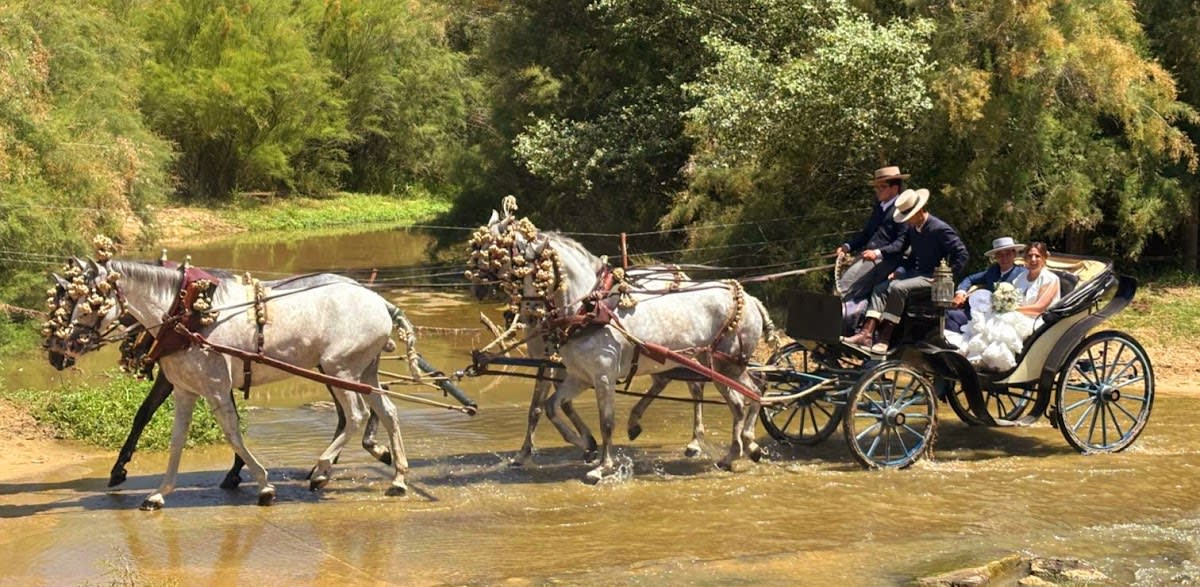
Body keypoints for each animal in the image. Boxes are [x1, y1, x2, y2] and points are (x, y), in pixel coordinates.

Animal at [50, 258, 416, 509]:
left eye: (89, 306)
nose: (59, 351)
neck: (186, 313)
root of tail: (380, 301)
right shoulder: (184, 390)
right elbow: (176, 440)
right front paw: (159, 493)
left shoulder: (214, 387)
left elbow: (233, 433)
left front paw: (262, 484)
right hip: (362, 372)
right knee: (388, 411)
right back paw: (397, 477)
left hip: (340, 370)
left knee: (355, 416)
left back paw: (323, 468)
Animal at [468, 201, 776, 482]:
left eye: (498, 254)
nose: (477, 288)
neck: (588, 308)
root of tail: (751, 299)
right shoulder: (577, 375)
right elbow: (551, 407)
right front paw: (583, 445)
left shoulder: (601, 376)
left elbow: (605, 421)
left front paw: (602, 466)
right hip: (705, 364)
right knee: (741, 397)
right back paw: (735, 449)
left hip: (725, 366)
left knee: (749, 395)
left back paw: (738, 446)